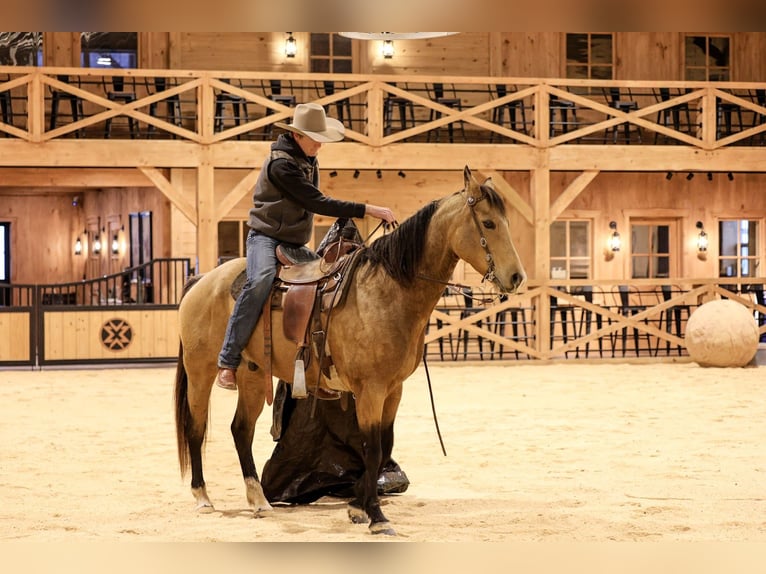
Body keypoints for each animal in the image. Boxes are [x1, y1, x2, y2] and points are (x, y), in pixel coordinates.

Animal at [174, 165, 527, 536]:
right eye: (488, 223)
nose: (517, 277)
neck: (386, 291)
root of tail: (201, 280)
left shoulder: (393, 390)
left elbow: (383, 445)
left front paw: (358, 506)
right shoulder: (370, 389)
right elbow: (371, 448)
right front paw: (376, 516)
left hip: (253, 378)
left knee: (241, 430)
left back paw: (259, 500)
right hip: (201, 373)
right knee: (196, 426)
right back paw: (203, 496)